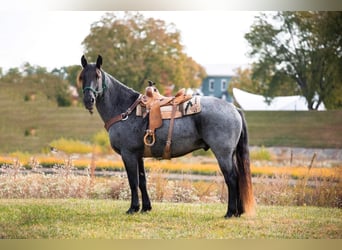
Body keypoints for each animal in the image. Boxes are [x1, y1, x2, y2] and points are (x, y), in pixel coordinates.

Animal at [79, 55, 254, 219]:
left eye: (97, 76)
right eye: (82, 76)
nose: (89, 100)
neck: (125, 110)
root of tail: (234, 108)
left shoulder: (128, 154)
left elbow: (133, 181)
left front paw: (133, 208)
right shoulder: (138, 155)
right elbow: (142, 181)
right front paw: (146, 207)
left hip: (222, 154)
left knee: (231, 178)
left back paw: (230, 212)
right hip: (230, 154)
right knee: (238, 177)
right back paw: (238, 211)